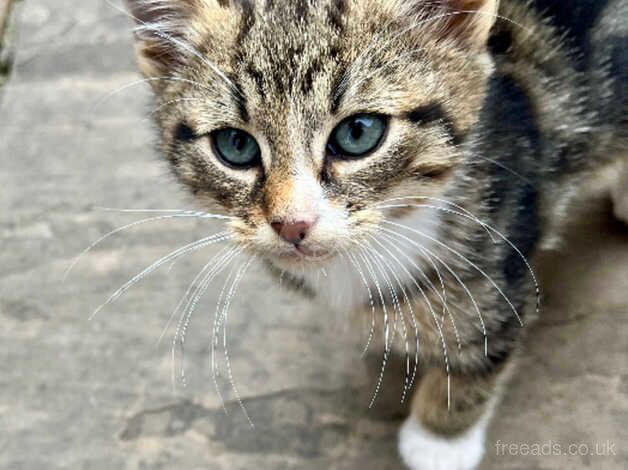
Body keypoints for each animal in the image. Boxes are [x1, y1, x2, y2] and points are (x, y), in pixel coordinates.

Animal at [125, 0, 624, 470]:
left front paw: (440, 439)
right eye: (235, 145)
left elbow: (484, 339)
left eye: (359, 133)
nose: (292, 224)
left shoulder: (505, 251)